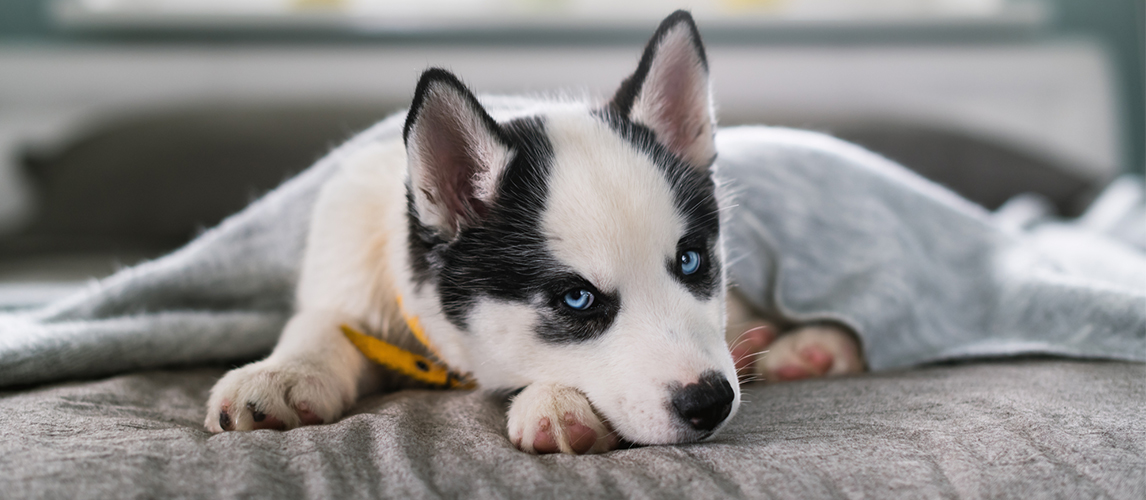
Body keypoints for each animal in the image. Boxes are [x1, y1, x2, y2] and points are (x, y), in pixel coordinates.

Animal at [206, 9, 861, 454]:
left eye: (692, 262)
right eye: (577, 299)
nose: (711, 402)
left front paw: (555, 400)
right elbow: (322, 322)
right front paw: (283, 373)